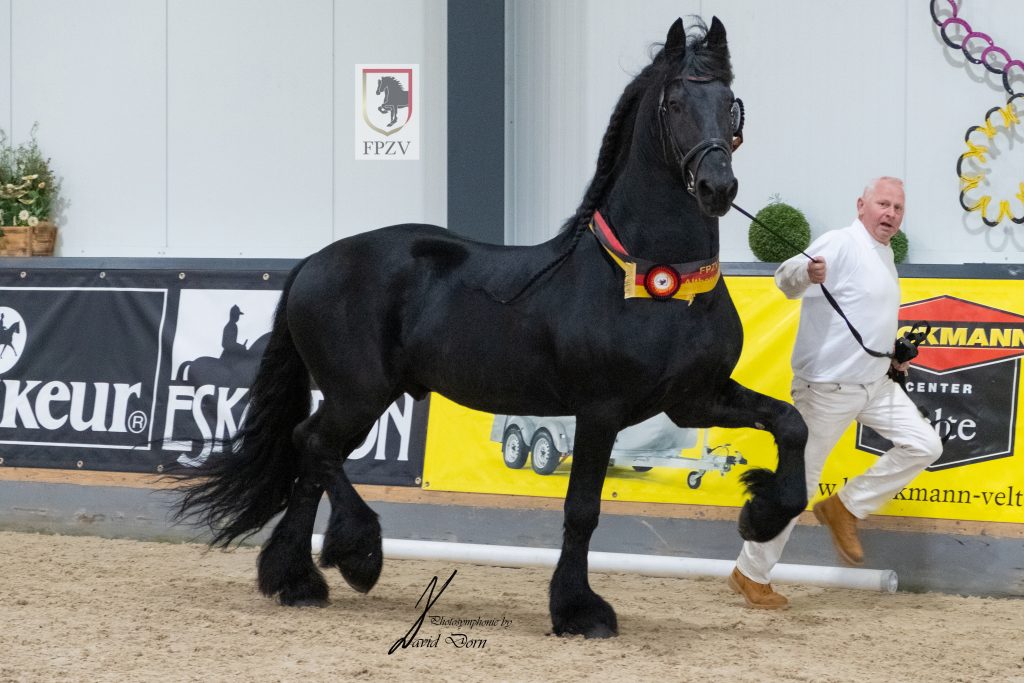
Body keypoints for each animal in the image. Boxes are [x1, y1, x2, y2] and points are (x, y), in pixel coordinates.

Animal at [182, 20, 806, 643]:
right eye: (674, 104)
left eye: (729, 103)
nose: (717, 187)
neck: (651, 278)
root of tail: (313, 261)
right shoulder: (600, 410)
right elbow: (582, 510)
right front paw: (579, 610)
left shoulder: (693, 398)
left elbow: (790, 424)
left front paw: (761, 513)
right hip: (358, 393)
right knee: (312, 445)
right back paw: (356, 555)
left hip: (358, 398)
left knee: (313, 457)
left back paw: (297, 581)